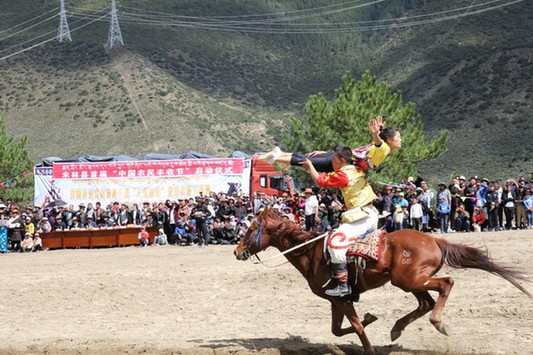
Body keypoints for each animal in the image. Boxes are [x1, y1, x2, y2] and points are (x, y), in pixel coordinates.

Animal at [235, 207, 528, 355]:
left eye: (250, 230)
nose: (237, 251)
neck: (312, 251)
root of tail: (434, 239)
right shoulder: (335, 298)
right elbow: (338, 329)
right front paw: (370, 318)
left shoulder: (340, 299)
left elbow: (355, 327)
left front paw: (368, 342)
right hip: (412, 282)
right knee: (425, 302)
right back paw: (397, 329)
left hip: (410, 280)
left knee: (446, 285)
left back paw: (438, 323)